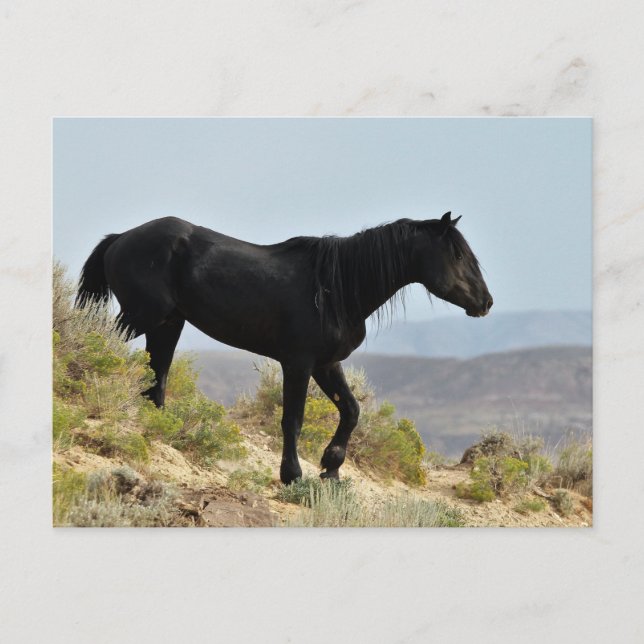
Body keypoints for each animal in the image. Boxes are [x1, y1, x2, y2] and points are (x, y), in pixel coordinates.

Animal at [76, 212, 492, 484]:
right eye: (457, 255)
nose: (485, 303)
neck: (336, 288)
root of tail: (120, 237)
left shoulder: (326, 364)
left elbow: (352, 411)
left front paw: (331, 468)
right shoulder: (298, 363)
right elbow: (293, 419)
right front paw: (292, 474)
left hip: (167, 323)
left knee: (156, 379)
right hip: (140, 317)